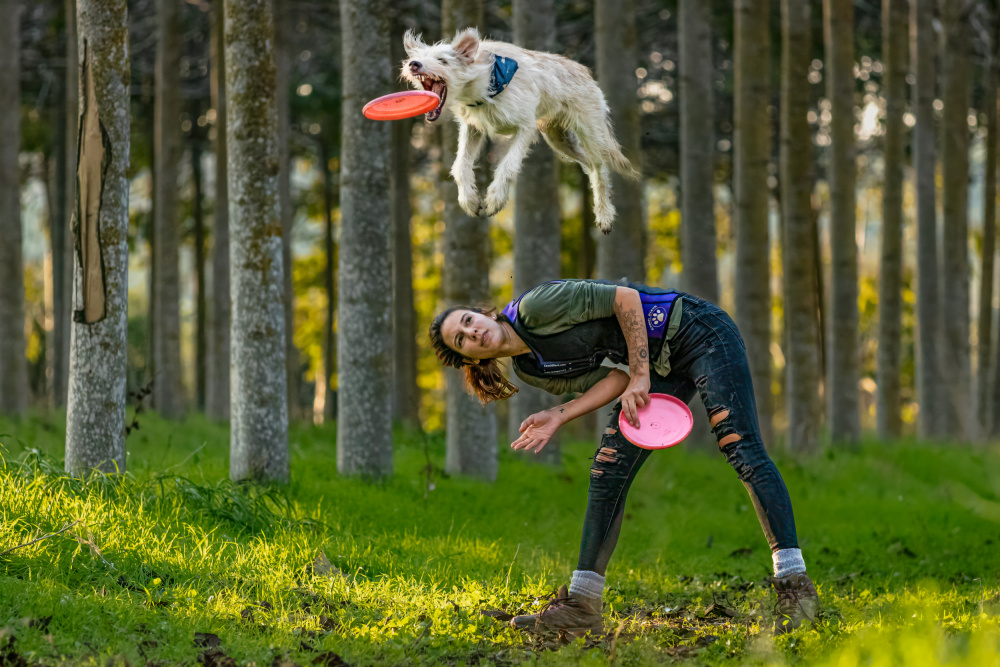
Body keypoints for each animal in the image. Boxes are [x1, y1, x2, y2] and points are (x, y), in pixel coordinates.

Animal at [402, 26, 636, 235]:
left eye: (442, 61)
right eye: (419, 57)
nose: (413, 64)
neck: (487, 81)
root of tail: (586, 73)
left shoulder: (525, 127)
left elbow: (508, 166)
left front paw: (494, 199)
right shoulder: (473, 128)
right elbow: (460, 165)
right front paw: (469, 200)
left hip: (591, 132)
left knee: (600, 167)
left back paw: (605, 215)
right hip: (559, 139)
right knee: (590, 165)